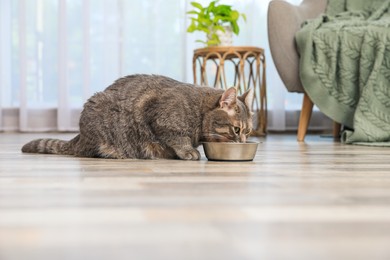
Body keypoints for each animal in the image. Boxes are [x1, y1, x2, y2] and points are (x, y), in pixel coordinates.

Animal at [23, 73, 256, 160]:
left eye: (248, 131)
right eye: (236, 129)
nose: (243, 140)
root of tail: (79, 137)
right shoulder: (161, 118)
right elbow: (177, 137)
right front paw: (188, 151)